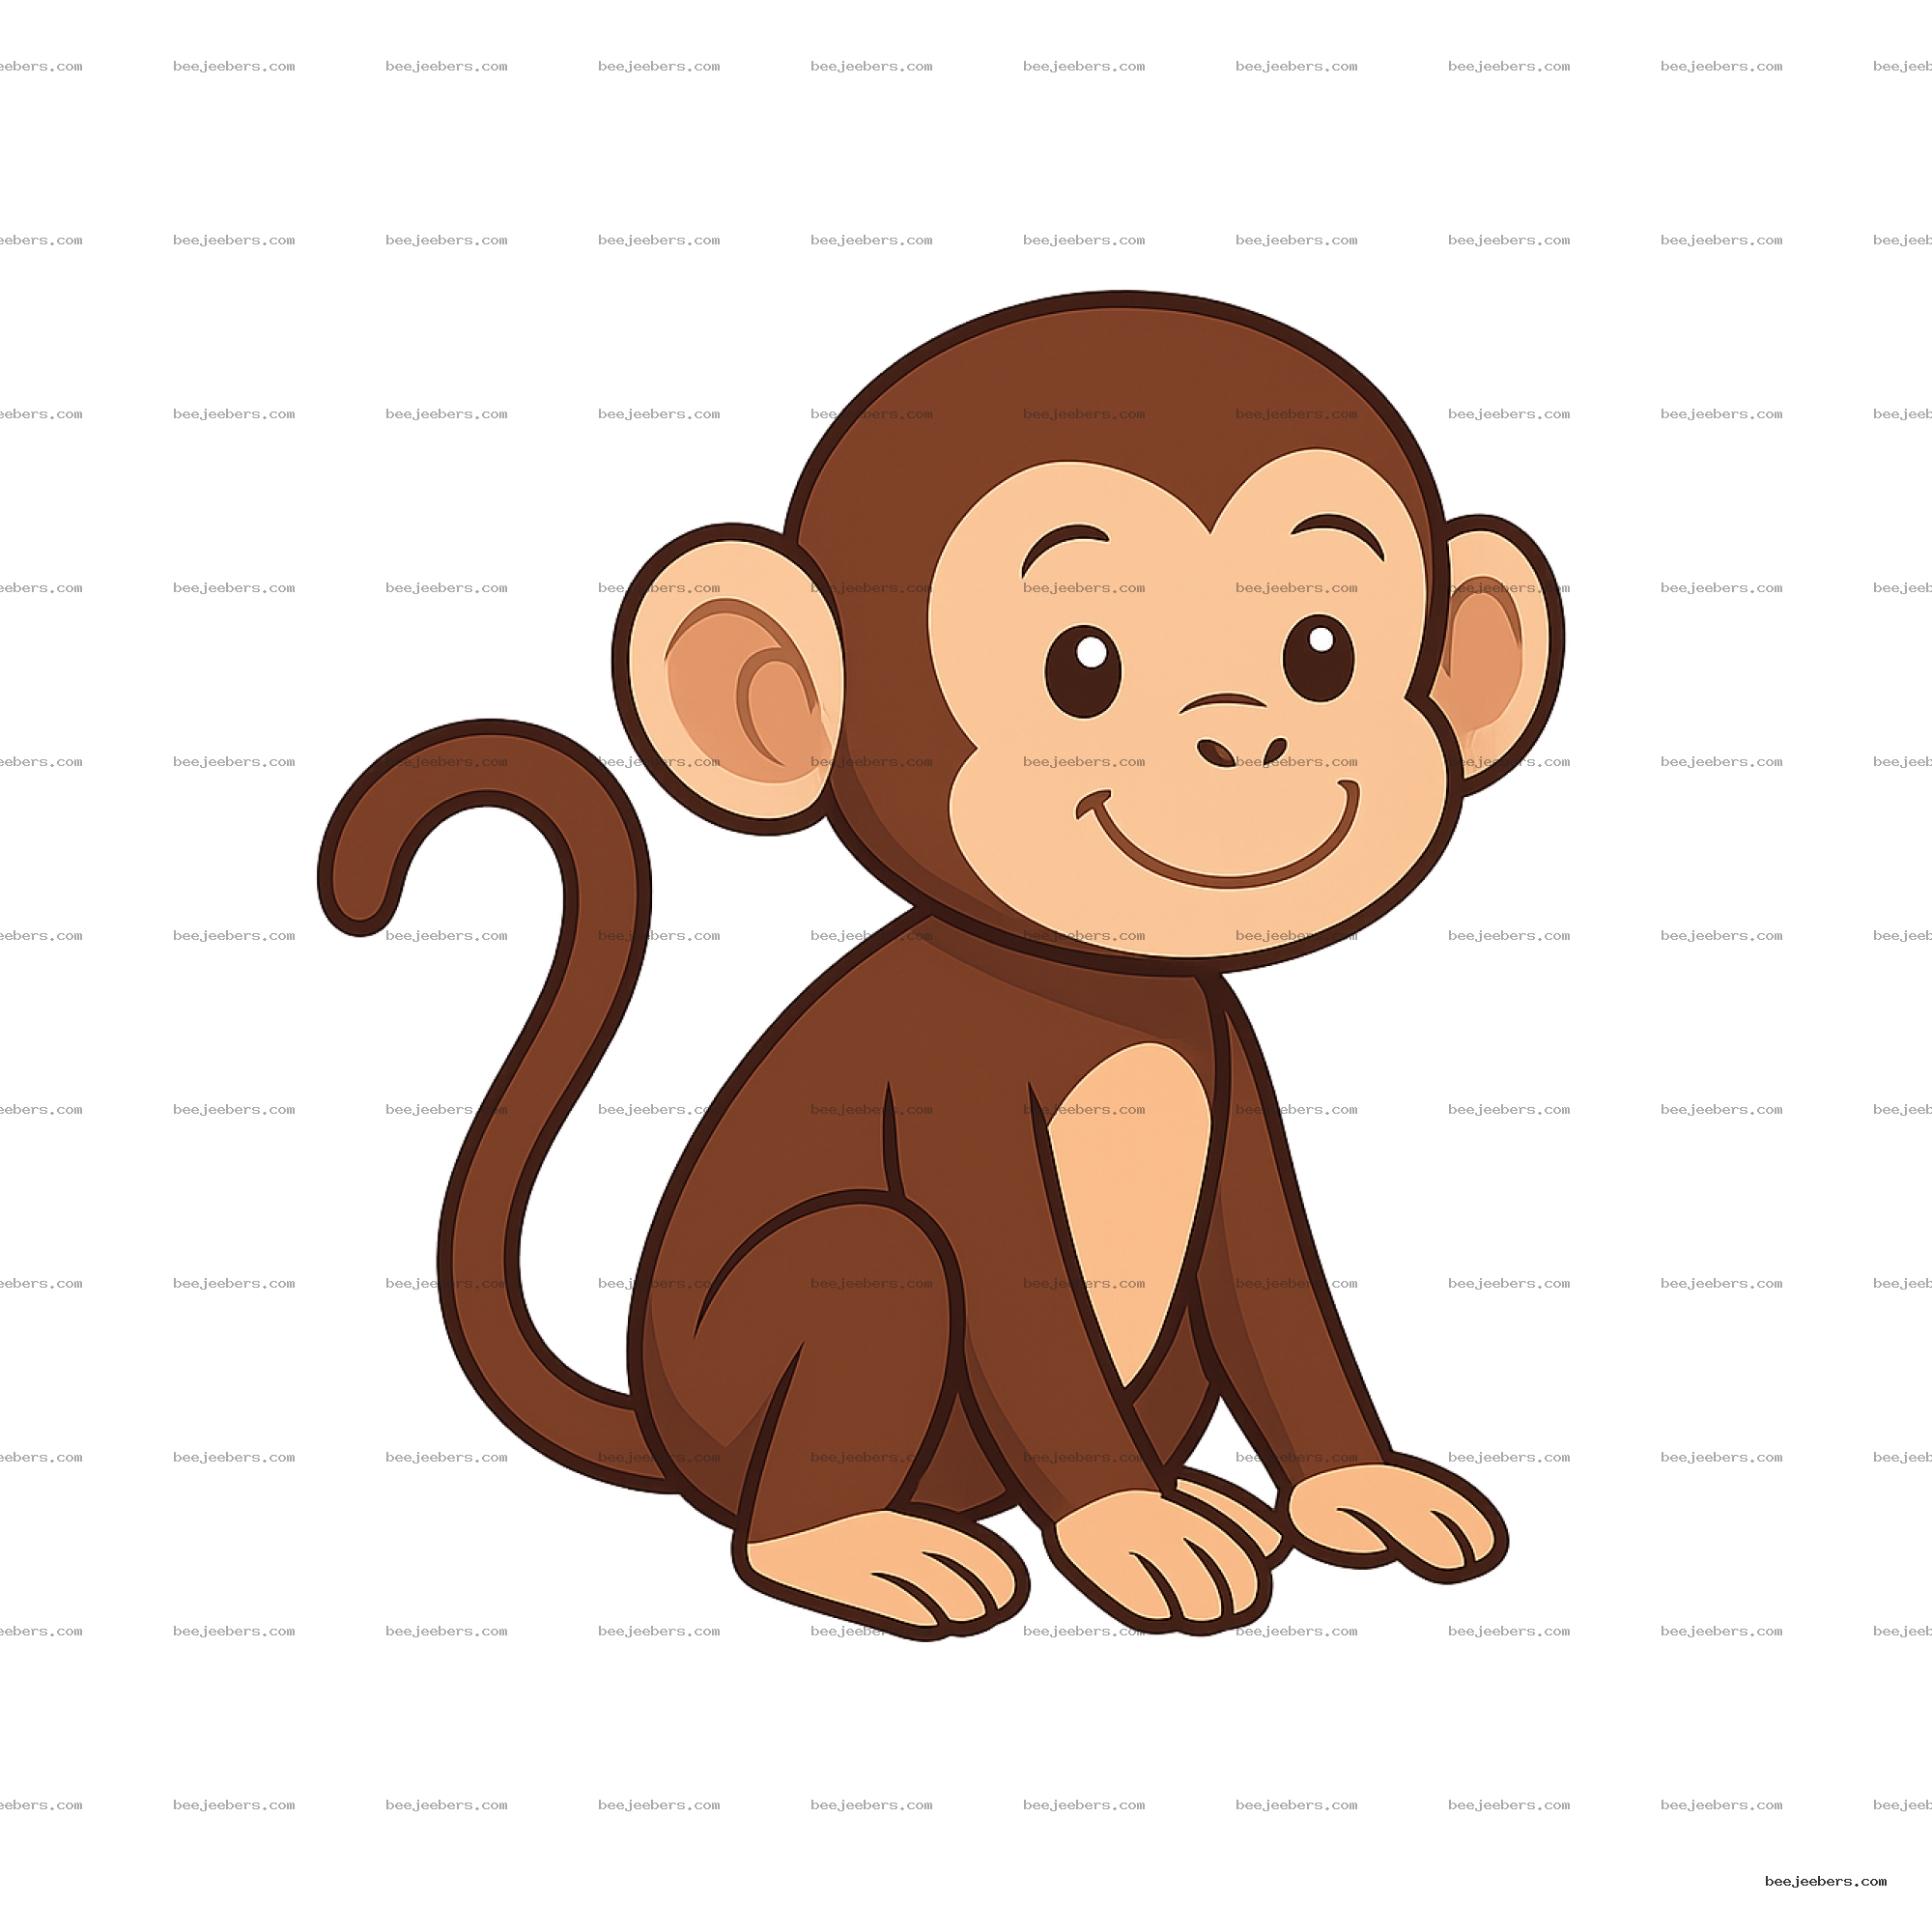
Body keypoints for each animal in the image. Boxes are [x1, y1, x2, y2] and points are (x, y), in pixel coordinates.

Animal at [319, 291, 1564, 1640]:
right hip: (766, 1380)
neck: (1096, 989)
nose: (1245, 737)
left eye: (1320, 648)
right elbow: (1015, 1287)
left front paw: (1352, 1486)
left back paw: (1185, 1487)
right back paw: (856, 1542)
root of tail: (659, 1424)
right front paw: (1125, 1522)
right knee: (880, 1257)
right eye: (1081, 664)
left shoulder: (1230, 1076)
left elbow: (1261, 1275)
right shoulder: (949, 1082)